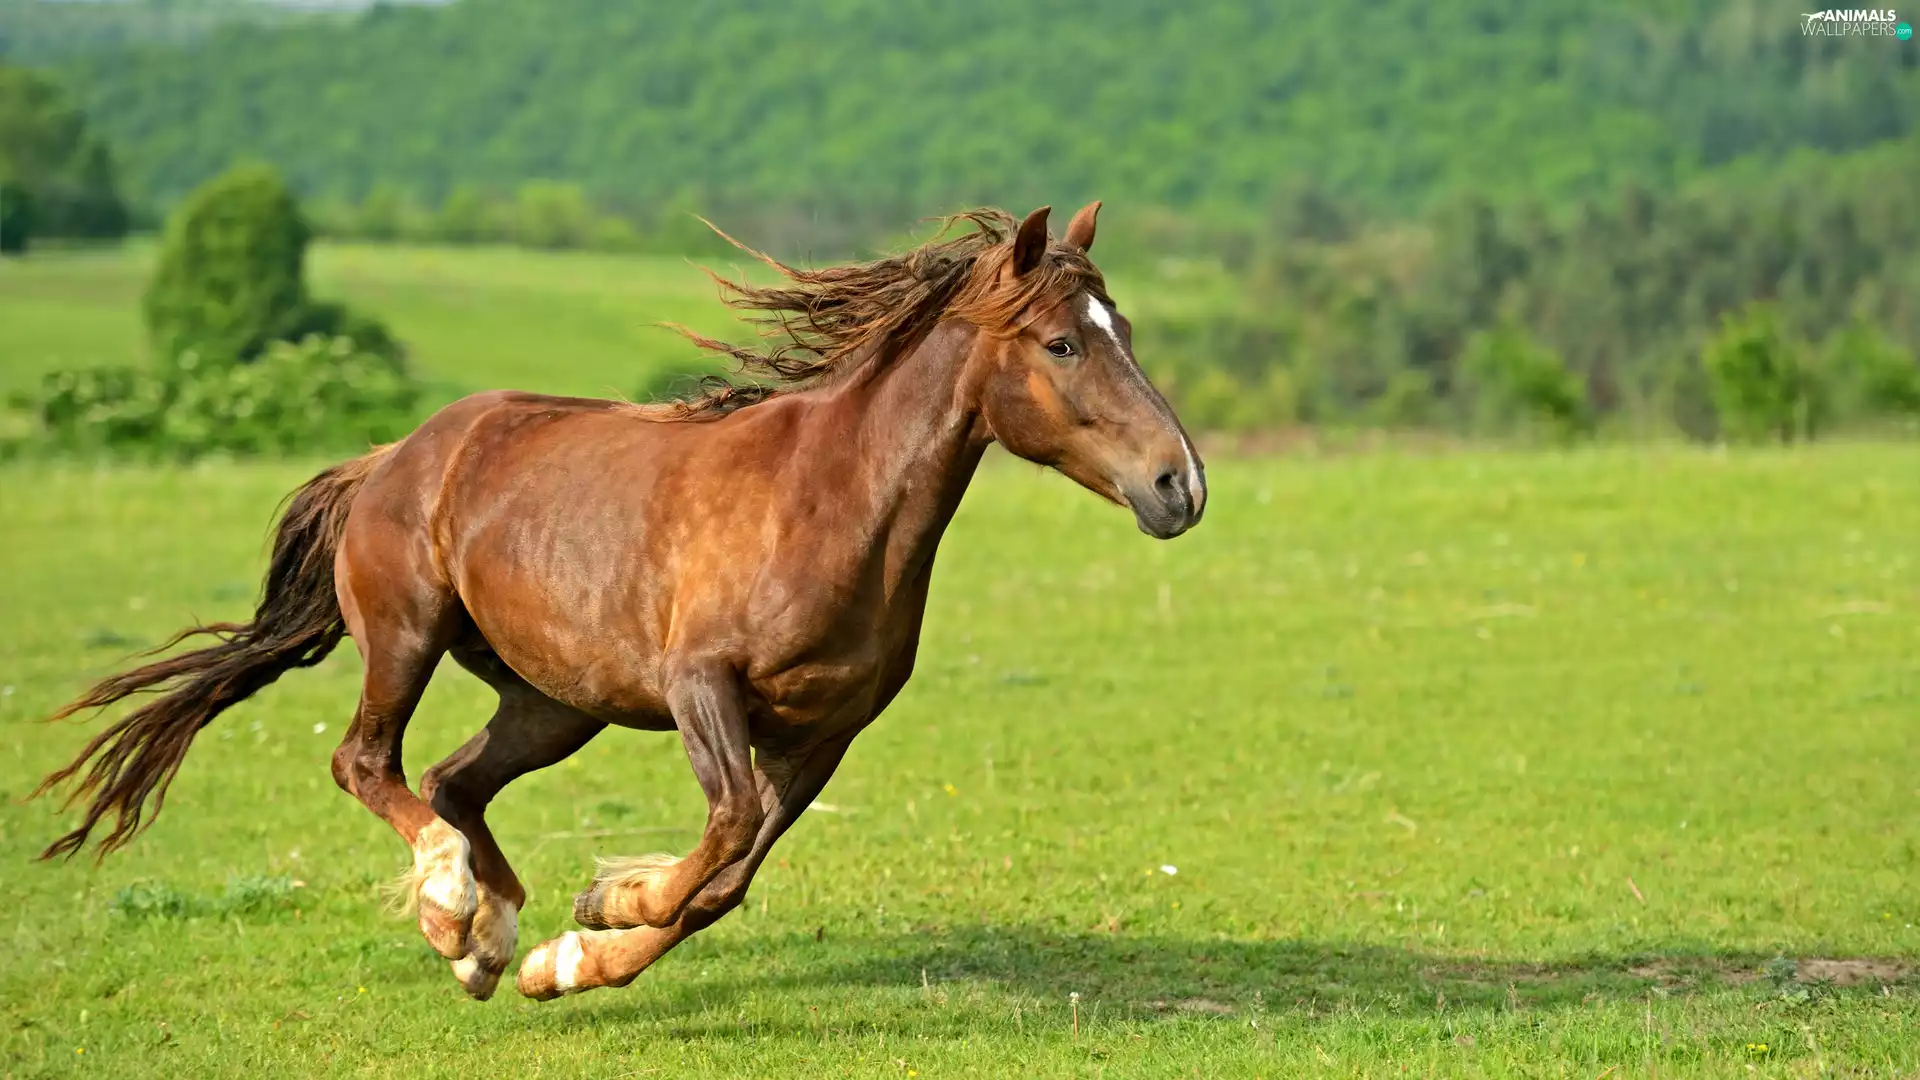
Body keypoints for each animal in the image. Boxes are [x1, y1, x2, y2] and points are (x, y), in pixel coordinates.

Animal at [33, 203, 1206, 1002]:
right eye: (1063, 342)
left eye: (1123, 327)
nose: (1179, 486)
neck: (832, 503)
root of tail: (390, 458)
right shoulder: (702, 687)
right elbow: (722, 835)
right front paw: (604, 909)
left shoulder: (824, 731)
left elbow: (727, 879)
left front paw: (570, 951)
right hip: (408, 637)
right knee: (367, 762)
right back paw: (452, 908)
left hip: (555, 702)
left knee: (454, 781)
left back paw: (488, 942)